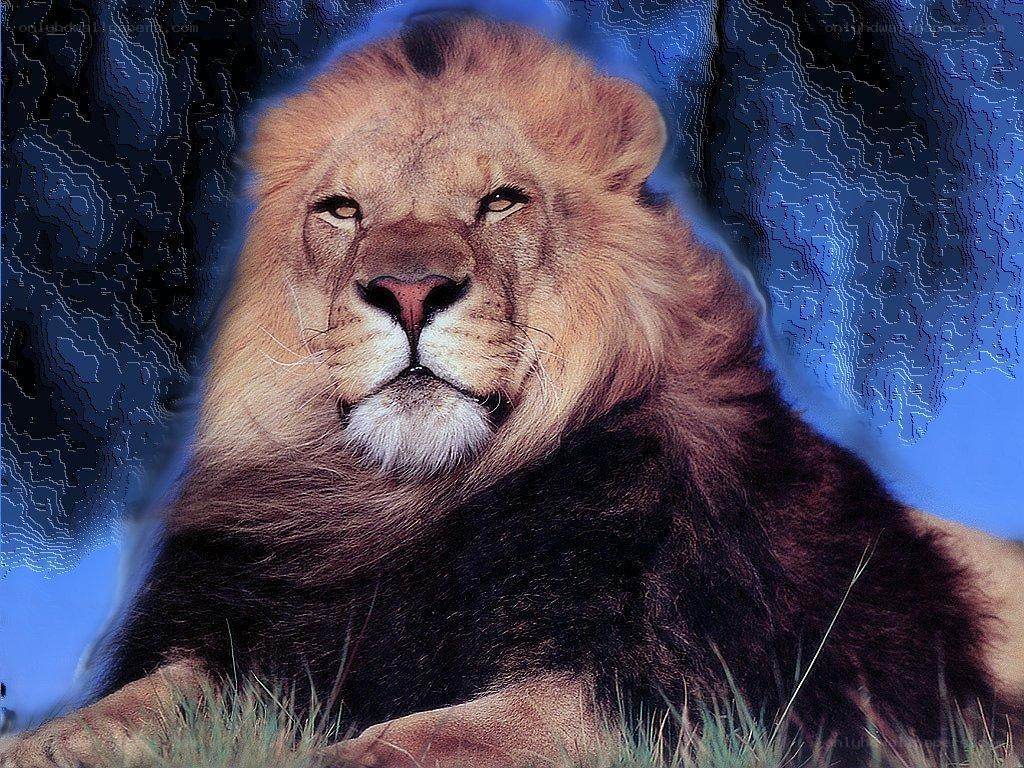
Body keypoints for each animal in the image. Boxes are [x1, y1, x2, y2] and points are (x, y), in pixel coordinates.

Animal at [4, 14, 1022, 768]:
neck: (407, 505)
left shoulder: (668, 689)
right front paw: (44, 743)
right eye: (342, 210)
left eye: (501, 201)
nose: (409, 291)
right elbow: (135, 703)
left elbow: (434, 739)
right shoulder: (263, 639)